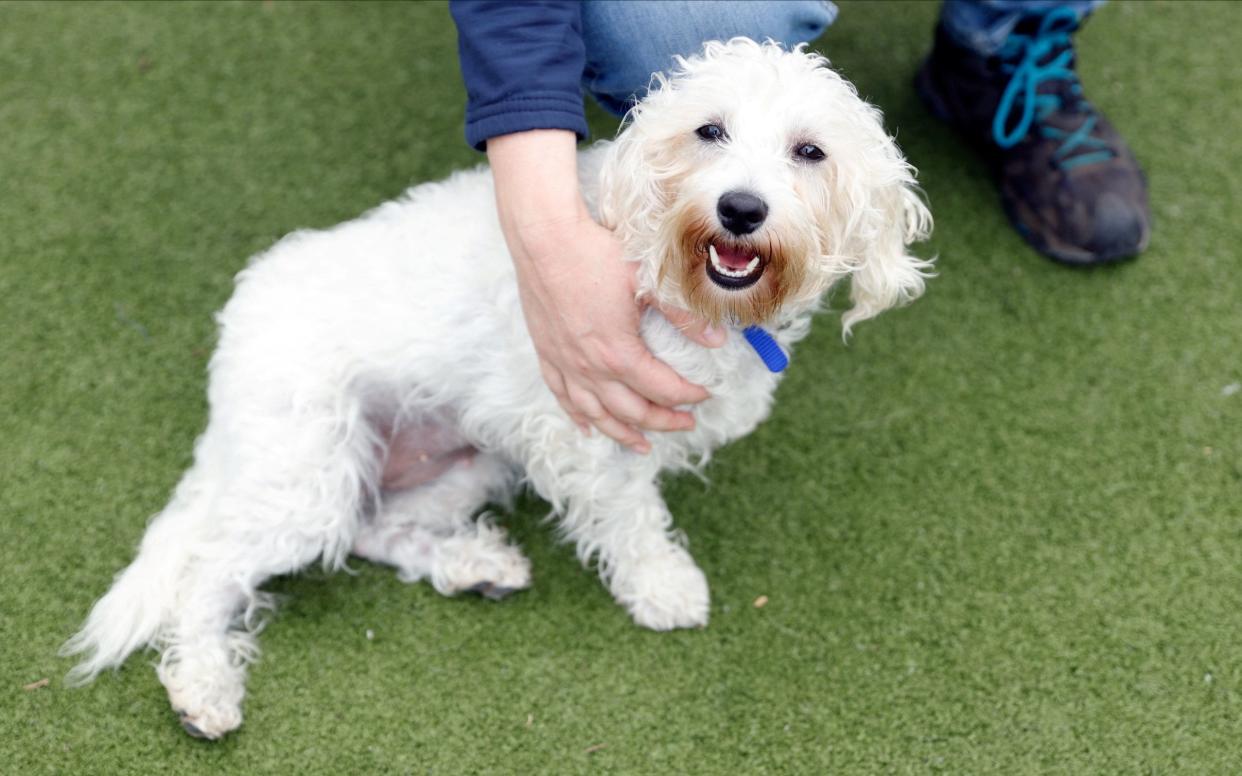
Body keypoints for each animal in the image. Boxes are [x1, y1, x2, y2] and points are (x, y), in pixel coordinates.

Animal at [60, 37, 933, 739]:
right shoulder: (591, 432)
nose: (741, 208)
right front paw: (662, 588)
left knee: (373, 530)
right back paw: (203, 688)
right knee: (210, 570)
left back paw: (472, 565)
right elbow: (633, 522)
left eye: (810, 151)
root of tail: (235, 334)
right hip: (306, 475)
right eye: (709, 130)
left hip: (460, 460)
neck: (678, 282)